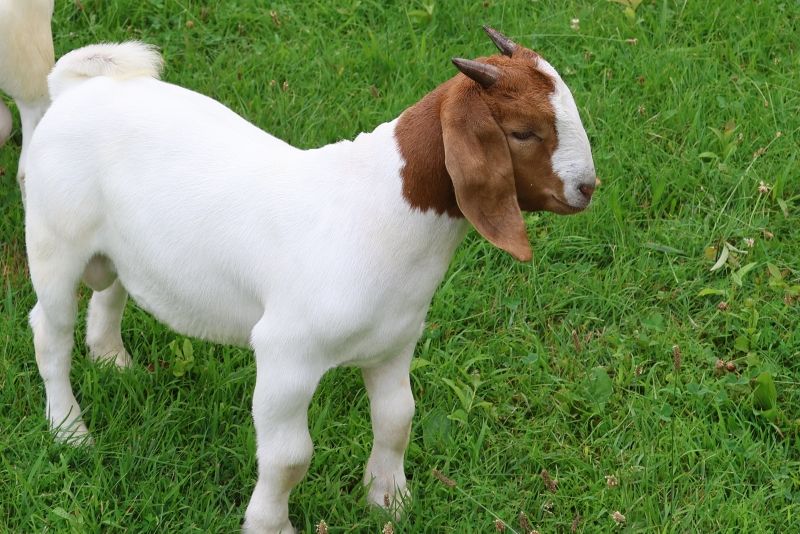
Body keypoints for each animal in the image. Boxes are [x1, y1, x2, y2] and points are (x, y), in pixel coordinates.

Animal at [25, 28, 596, 533]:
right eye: (522, 132)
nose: (587, 187)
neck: (379, 208)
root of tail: (77, 89)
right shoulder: (286, 354)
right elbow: (289, 458)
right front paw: (269, 525)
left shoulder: (394, 343)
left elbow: (397, 420)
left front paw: (390, 503)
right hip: (54, 238)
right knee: (49, 331)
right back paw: (70, 430)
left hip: (121, 246)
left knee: (112, 289)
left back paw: (112, 360)